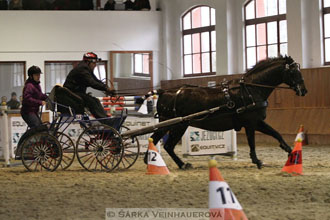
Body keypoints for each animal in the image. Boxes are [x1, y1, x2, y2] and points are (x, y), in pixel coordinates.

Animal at [147, 55, 306, 169]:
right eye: (293, 72)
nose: (304, 90)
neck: (250, 89)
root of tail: (166, 91)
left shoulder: (257, 122)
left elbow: (276, 133)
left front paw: (291, 152)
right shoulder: (250, 123)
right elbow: (252, 142)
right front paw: (257, 161)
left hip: (174, 125)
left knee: (158, 141)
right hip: (176, 125)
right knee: (164, 144)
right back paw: (174, 163)